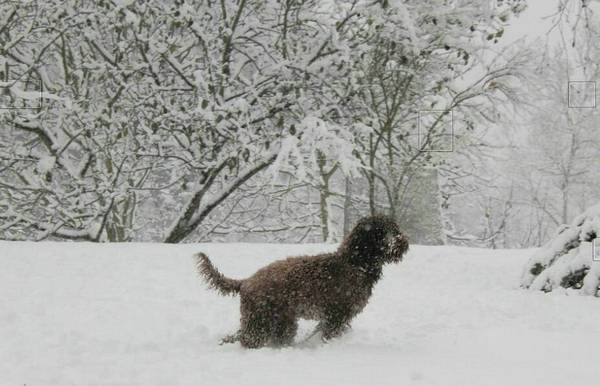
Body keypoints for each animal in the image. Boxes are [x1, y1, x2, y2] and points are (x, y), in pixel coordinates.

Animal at [195, 216, 410, 348]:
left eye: (394, 228)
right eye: (380, 231)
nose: (402, 240)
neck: (356, 263)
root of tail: (246, 281)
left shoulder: (335, 316)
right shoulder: (337, 314)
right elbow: (329, 333)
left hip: (276, 320)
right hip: (264, 319)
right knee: (249, 339)